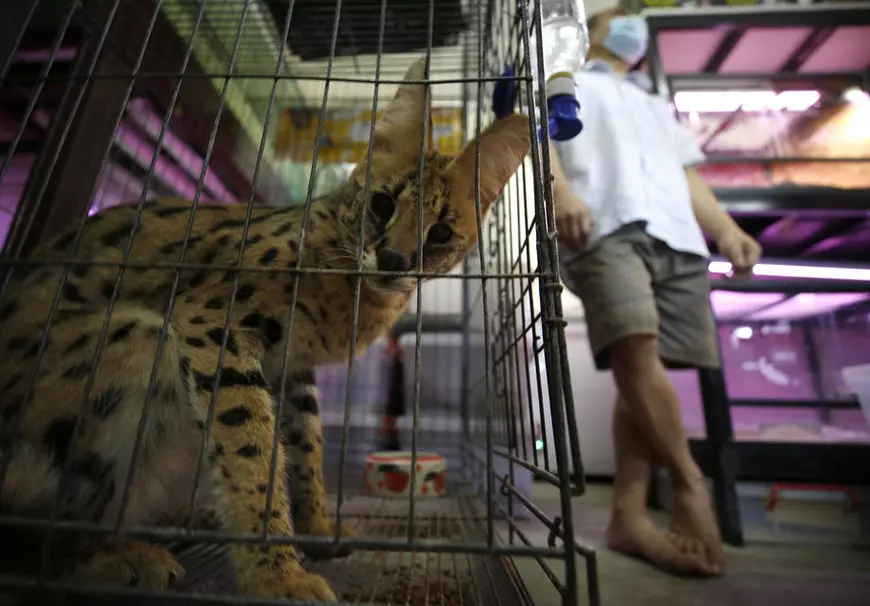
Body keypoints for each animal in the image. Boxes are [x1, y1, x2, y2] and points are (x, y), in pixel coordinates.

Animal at [0, 58, 531, 602]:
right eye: (383, 204)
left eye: (440, 232)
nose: (393, 260)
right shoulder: (213, 324)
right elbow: (251, 444)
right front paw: (276, 574)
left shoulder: (292, 368)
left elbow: (304, 446)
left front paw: (316, 529)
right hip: (141, 338)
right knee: (35, 528)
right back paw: (112, 555)